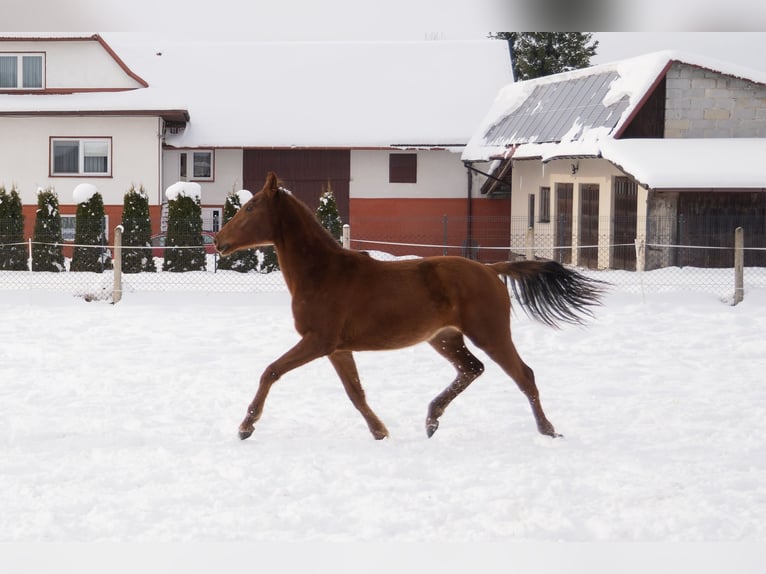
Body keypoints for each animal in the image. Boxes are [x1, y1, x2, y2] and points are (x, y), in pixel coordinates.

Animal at [215, 172, 605, 441]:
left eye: (250, 207)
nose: (218, 240)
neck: (323, 272)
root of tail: (491, 269)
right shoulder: (338, 348)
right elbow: (355, 392)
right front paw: (380, 432)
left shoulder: (318, 341)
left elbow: (271, 371)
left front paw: (245, 426)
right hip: (445, 338)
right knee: (472, 369)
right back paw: (432, 419)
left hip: (490, 333)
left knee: (524, 375)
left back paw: (548, 430)